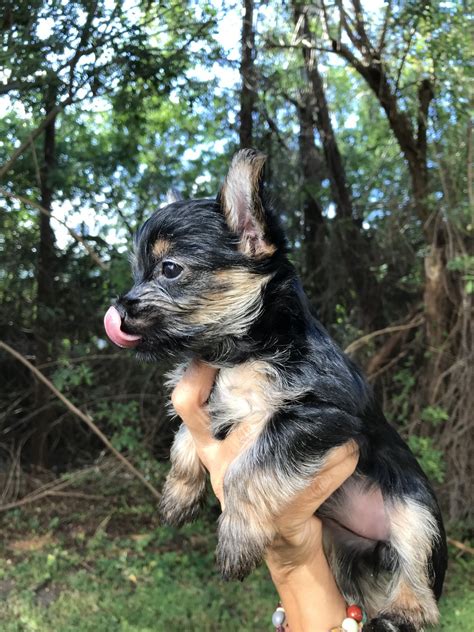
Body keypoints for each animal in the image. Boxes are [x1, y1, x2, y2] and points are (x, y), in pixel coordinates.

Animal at [103, 151, 448, 628]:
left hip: (415, 512)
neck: (240, 351)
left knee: (419, 577)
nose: (118, 308)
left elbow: (250, 468)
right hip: (340, 548)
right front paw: (179, 493)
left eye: (169, 270)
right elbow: (185, 437)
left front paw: (235, 537)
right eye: (137, 274)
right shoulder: (212, 404)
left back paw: (403, 612)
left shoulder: (315, 414)